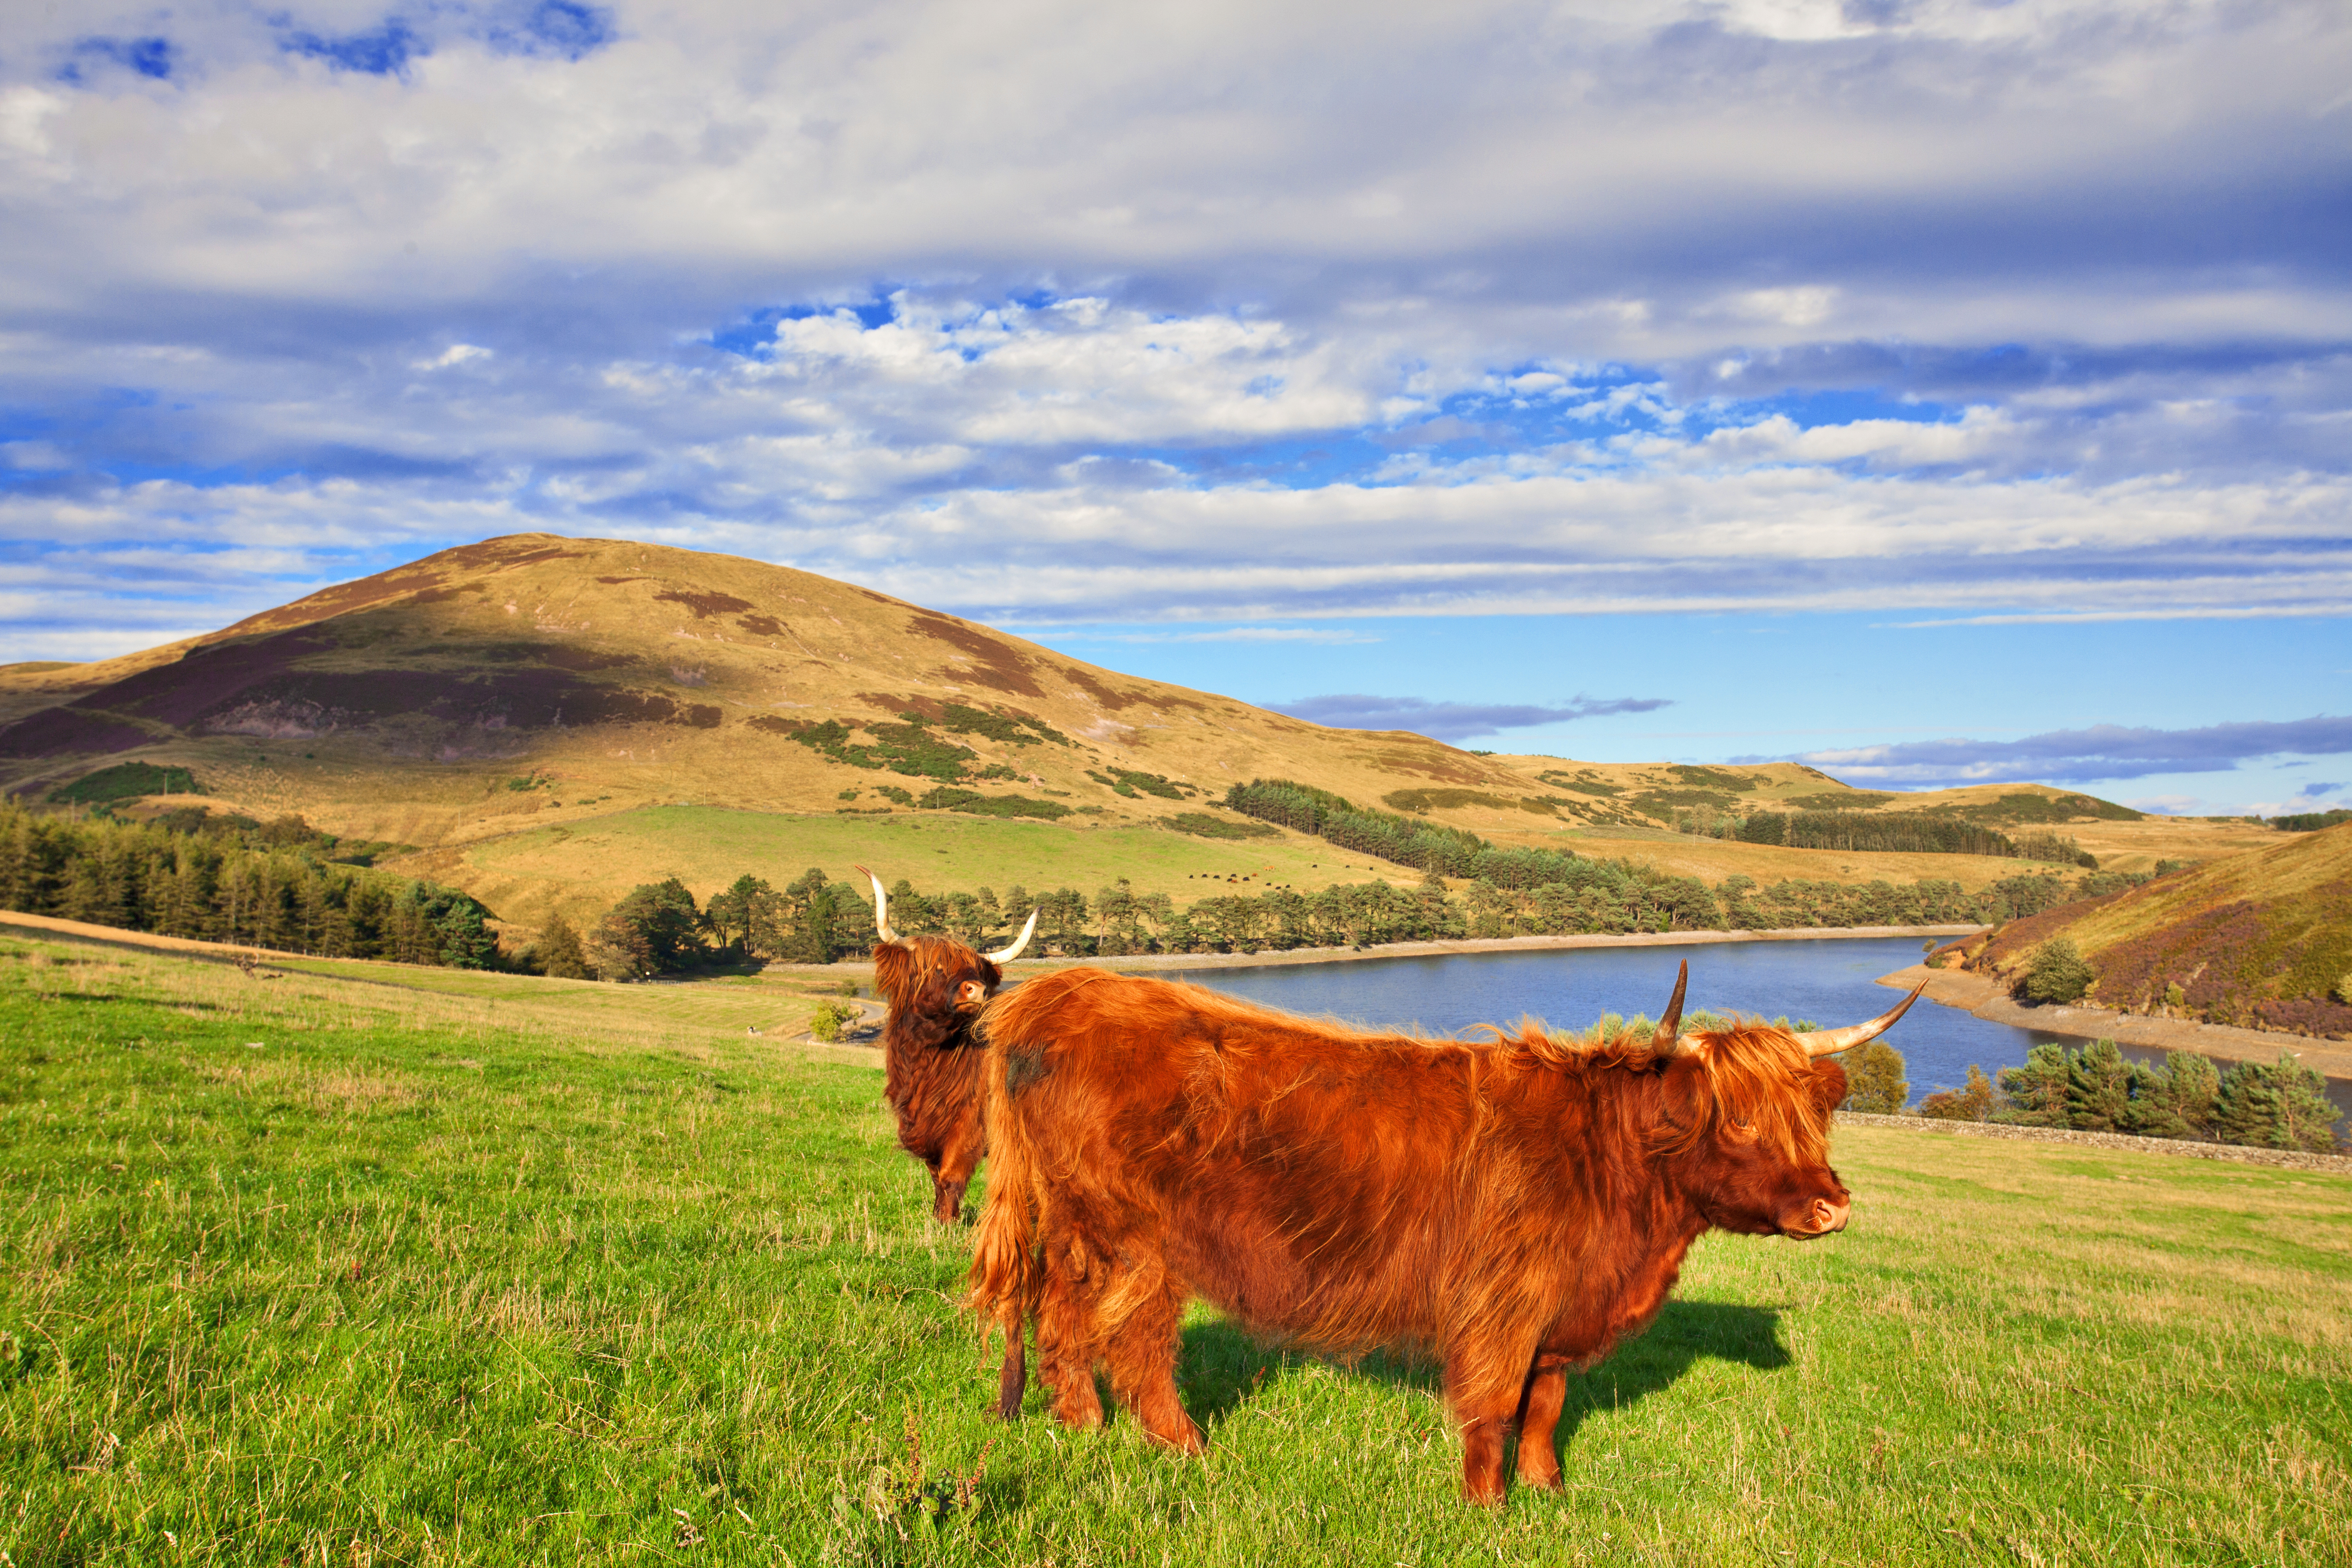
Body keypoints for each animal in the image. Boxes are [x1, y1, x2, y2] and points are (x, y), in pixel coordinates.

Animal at [851, 869, 1025, 1222]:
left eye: (975, 969)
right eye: (937, 967)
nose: (977, 989)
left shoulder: (969, 1126)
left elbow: (950, 1176)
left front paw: (946, 1223)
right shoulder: (928, 1127)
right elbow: (935, 1175)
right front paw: (938, 1219)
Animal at [964, 964, 1919, 1504]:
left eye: (1812, 1118)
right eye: (1742, 1123)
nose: (1832, 1206)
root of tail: (1056, 995)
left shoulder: (1555, 1311)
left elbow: (1545, 1405)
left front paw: (1548, 1491)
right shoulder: (1502, 1303)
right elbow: (1494, 1406)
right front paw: (1487, 1508)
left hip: (1076, 1227)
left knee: (1062, 1319)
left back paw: (1083, 1425)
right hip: (1140, 1238)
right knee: (1134, 1338)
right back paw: (1186, 1447)